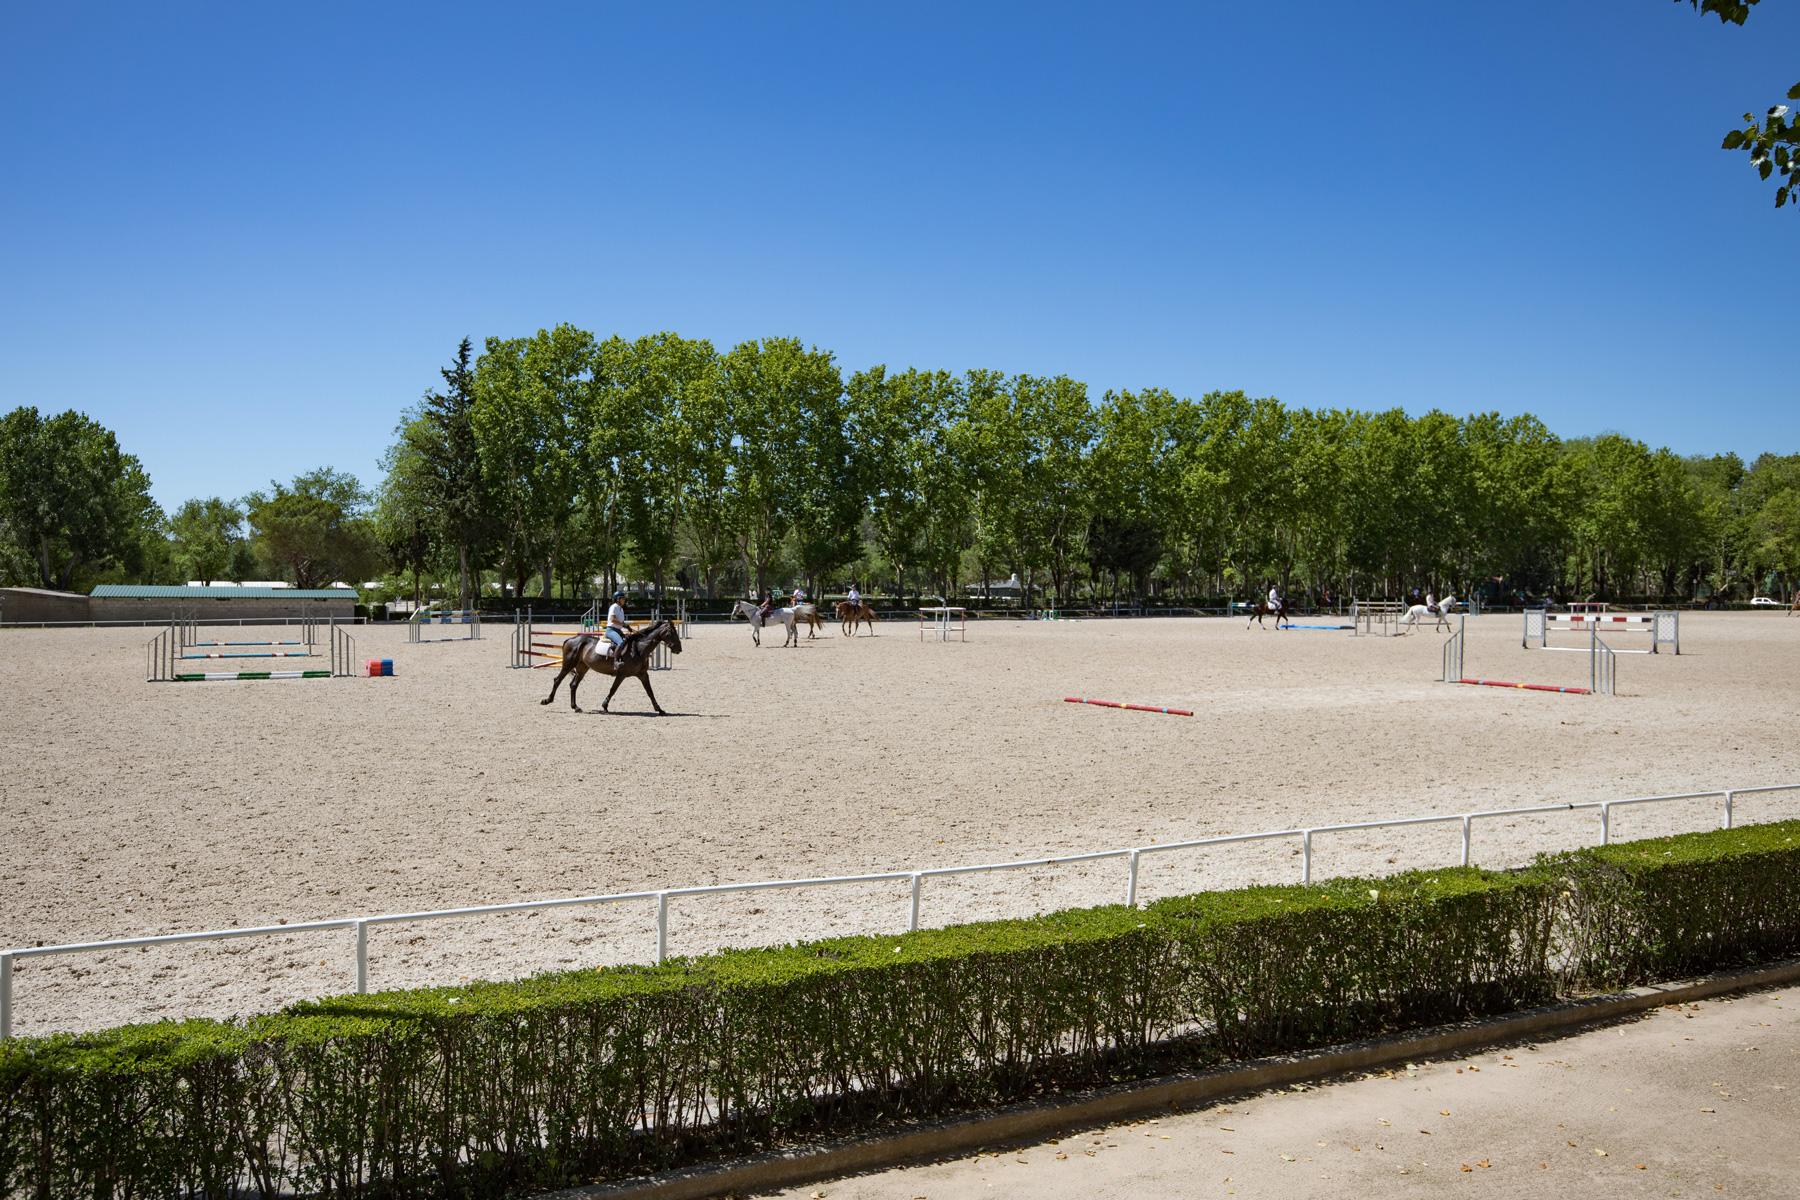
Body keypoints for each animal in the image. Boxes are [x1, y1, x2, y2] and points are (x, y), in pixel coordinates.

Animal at [540, 618, 680, 712]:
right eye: (672, 632)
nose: (679, 649)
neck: (638, 649)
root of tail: (570, 639)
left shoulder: (643, 674)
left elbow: (650, 691)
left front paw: (659, 709)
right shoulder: (621, 674)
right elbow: (613, 689)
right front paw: (604, 706)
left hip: (582, 668)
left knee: (573, 685)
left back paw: (575, 707)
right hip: (568, 664)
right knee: (557, 680)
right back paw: (547, 700)